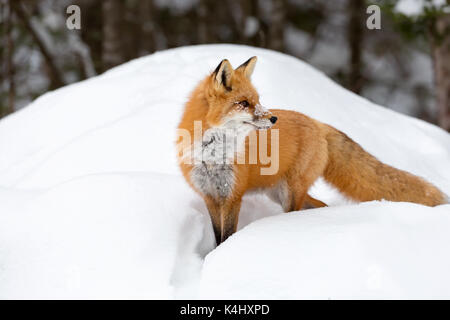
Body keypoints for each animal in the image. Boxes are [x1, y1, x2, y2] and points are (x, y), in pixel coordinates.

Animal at [176, 57, 446, 245]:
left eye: (258, 101)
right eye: (244, 103)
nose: (273, 118)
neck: (212, 155)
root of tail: (318, 123)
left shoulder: (233, 195)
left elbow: (227, 236)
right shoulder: (210, 196)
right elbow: (217, 235)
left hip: (289, 193)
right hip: (280, 193)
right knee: (321, 205)